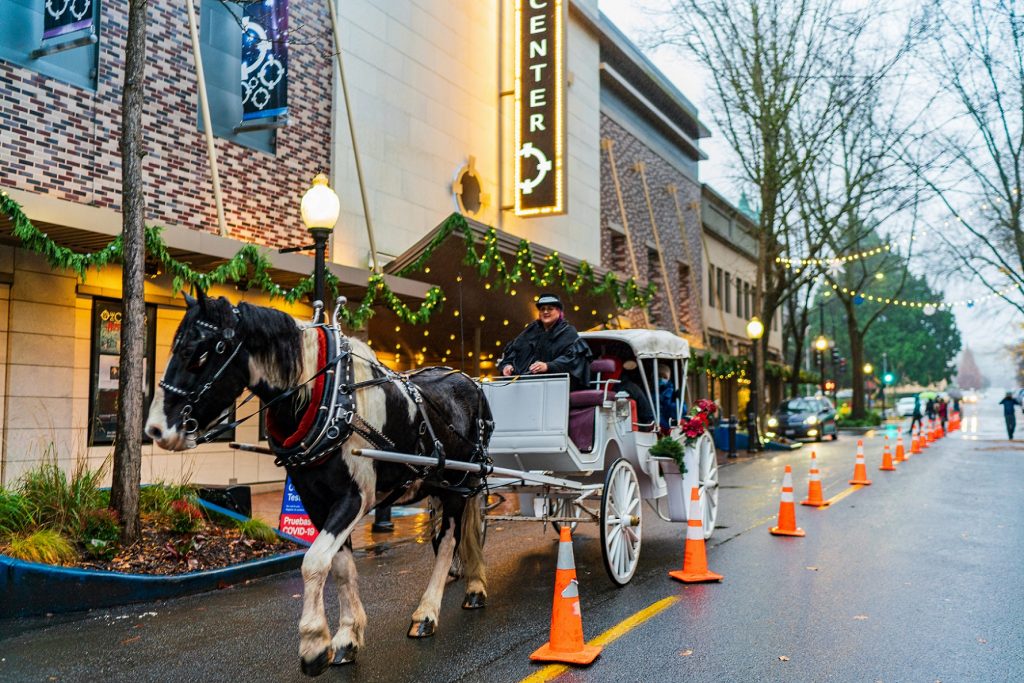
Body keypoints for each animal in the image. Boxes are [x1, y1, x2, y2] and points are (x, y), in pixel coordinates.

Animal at [146, 294, 493, 679]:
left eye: (199, 353)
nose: (156, 429)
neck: (329, 396)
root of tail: (468, 380)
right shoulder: (315, 500)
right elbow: (339, 566)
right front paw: (346, 637)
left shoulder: (355, 497)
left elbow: (313, 561)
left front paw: (313, 645)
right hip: (441, 486)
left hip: (460, 484)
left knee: (449, 542)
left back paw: (431, 610)